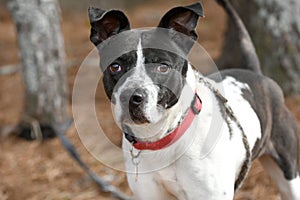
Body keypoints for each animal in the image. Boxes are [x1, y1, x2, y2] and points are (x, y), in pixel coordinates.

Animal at [89, 0, 300, 199]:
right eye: (115, 66)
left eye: (163, 67)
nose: (130, 96)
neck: (162, 139)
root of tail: (257, 74)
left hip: (290, 175)